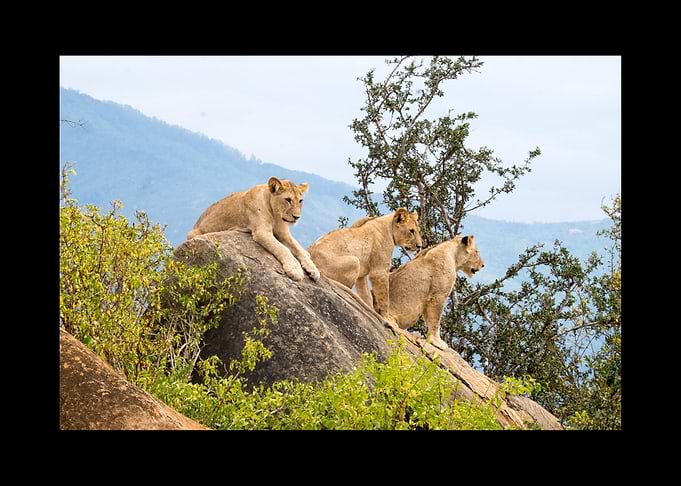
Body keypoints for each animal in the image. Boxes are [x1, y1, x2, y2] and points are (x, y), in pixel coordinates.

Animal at [187, 176, 320, 282]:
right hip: (193, 234)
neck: (275, 215)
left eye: (300, 201)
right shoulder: (261, 232)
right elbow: (283, 249)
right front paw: (295, 270)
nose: (297, 217)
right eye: (288, 200)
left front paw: (313, 269)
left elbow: (297, 248)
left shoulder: (283, 233)